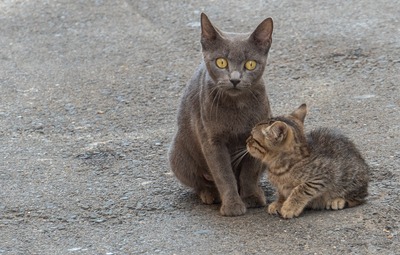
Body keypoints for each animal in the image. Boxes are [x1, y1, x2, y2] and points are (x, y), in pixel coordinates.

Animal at [167, 13, 274, 217]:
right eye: (221, 62)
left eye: (250, 64)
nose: (235, 79)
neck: (237, 106)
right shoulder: (211, 140)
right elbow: (223, 174)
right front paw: (232, 205)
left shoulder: (257, 135)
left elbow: (249, 171)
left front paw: (251, 197)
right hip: (178, 155)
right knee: (200, 182)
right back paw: (210, 194)